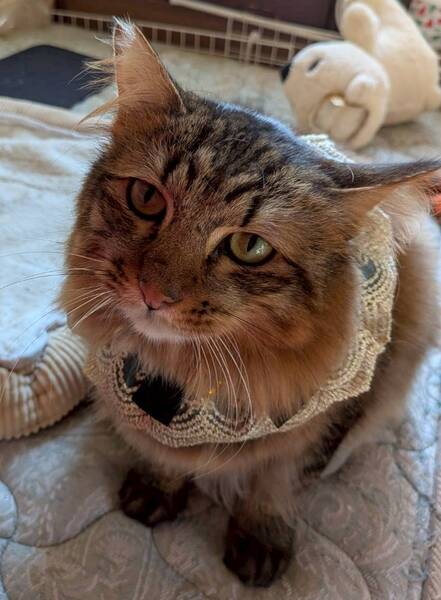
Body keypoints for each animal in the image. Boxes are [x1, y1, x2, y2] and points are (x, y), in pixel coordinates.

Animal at [60, 21, 441, 587]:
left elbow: (277, 481)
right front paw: (158, 489)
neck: (186, 378)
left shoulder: (327, 419)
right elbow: (166, 457)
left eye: (249, 247)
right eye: (147, 199)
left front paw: (261, 536)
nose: (154, 295)